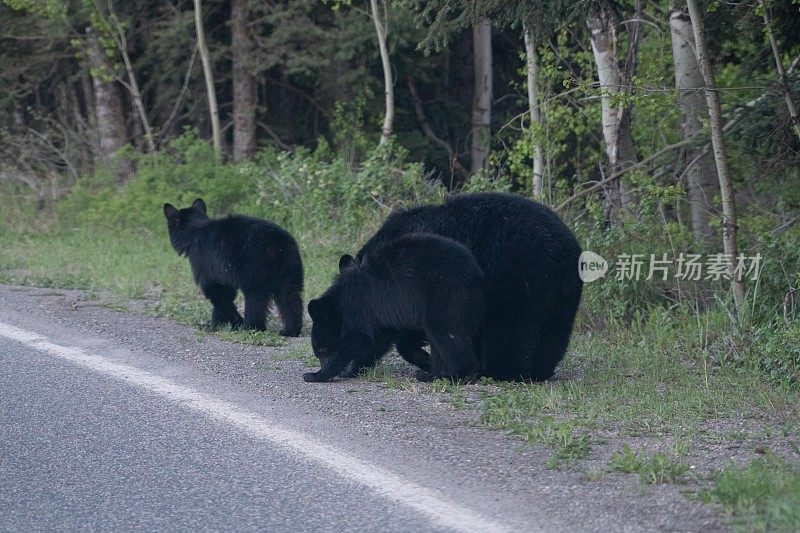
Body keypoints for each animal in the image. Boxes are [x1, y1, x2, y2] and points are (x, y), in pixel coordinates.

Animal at [162, 197, 304, 334]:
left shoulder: (205, 261)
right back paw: (290, 330)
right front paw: (217, 324)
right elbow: (225, 291)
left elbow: (216, 291)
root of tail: (274, 245)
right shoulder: (223, 270)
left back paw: (251, 326)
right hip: (290, 265)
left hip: (255, 267)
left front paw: (227, 323)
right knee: (290, 295)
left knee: (256, 298)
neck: (195, 232)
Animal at [304, 235, 484, 380]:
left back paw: (450, 374)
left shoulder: (358, 302)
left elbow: (358, 337)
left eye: (322, 351)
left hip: (445, 295)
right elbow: (377, 341)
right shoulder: (384, 314)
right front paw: (354, 370)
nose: (321, 364)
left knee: (445, 333)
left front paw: (316, 375)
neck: (341, 297)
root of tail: (476, 274)